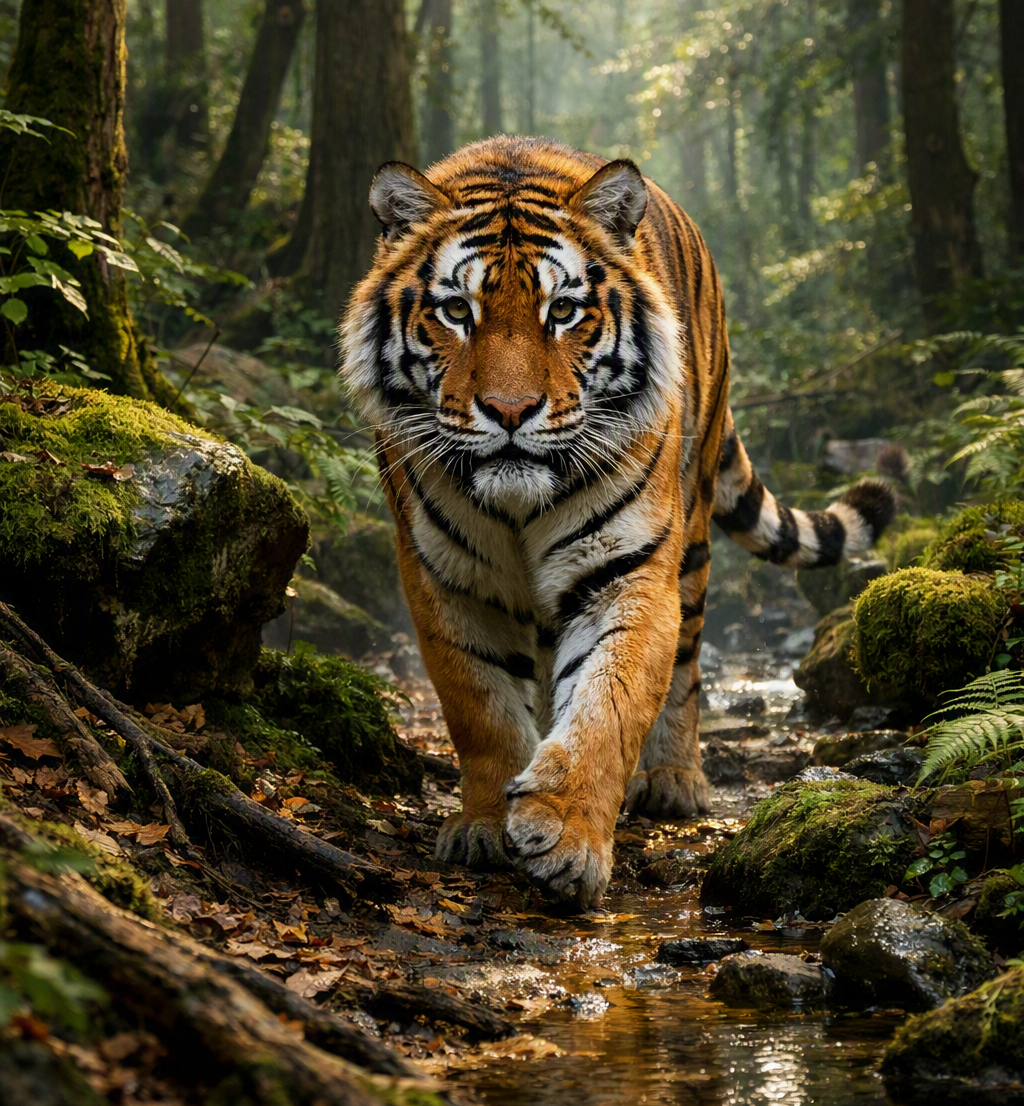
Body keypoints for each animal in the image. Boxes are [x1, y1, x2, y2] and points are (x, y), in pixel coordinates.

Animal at [339, 136, 894, 911]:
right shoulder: (446, 578)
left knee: (686, 665)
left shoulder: (626, 572)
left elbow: (610, 705)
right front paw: (484, 826)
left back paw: (674, 782)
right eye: (455, 311)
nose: (509, 411)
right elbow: (480, 705)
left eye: (564, 311)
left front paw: (566, 837)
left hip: (692, 535)